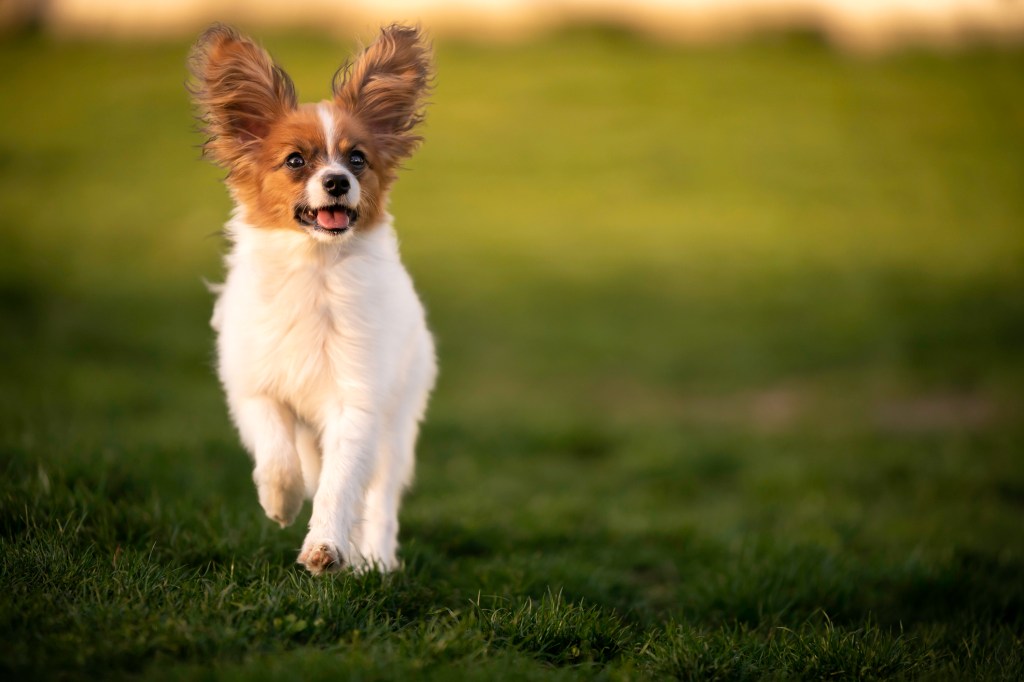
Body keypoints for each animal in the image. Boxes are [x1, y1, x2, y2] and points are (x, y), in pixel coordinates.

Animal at [188, 23, 436, 569]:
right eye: (296, 161)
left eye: (357, 159)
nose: (337, 181)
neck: (315, 268)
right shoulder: (255, 385)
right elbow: (277, 453)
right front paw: (281, 500)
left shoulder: (356, 401)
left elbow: (340, 483)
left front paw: (326, 545)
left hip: (398, 421)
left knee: (380, 495)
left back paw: (377, 558)